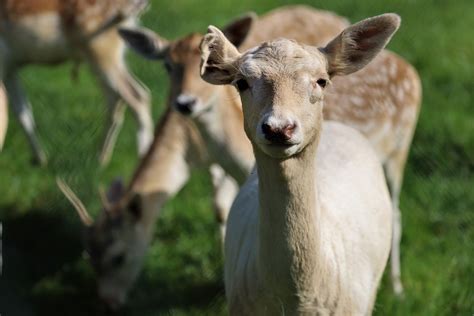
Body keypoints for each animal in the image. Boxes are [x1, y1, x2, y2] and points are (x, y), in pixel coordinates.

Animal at [0, 0, 153, 167]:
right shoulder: (10, 67)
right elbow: (23, 112)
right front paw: (41, 160)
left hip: (102, 49)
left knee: (137, 96)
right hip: (108, 55)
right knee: (117, 100)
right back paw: (101, 159)